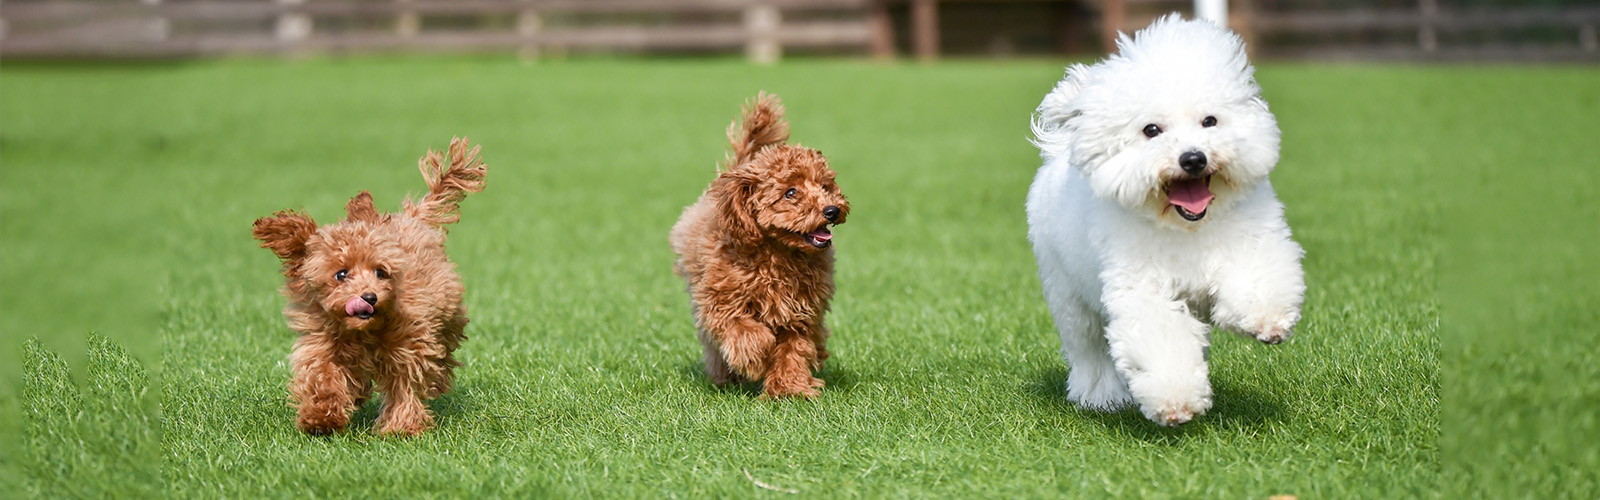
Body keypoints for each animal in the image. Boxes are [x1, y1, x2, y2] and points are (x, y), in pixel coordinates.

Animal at [1030, 17, 1305, 426]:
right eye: (1151, 130)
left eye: (1210, 121)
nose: (1193, 158)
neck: (1186, 225)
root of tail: (1061, 152)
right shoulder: (1142, 289)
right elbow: (1160, 335)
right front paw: (1175, 399)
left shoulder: (1251, 239)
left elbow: (1257, 276)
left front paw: (1266, 319)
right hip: (1067, 293)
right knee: (1089, 348)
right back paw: (1101, 396)